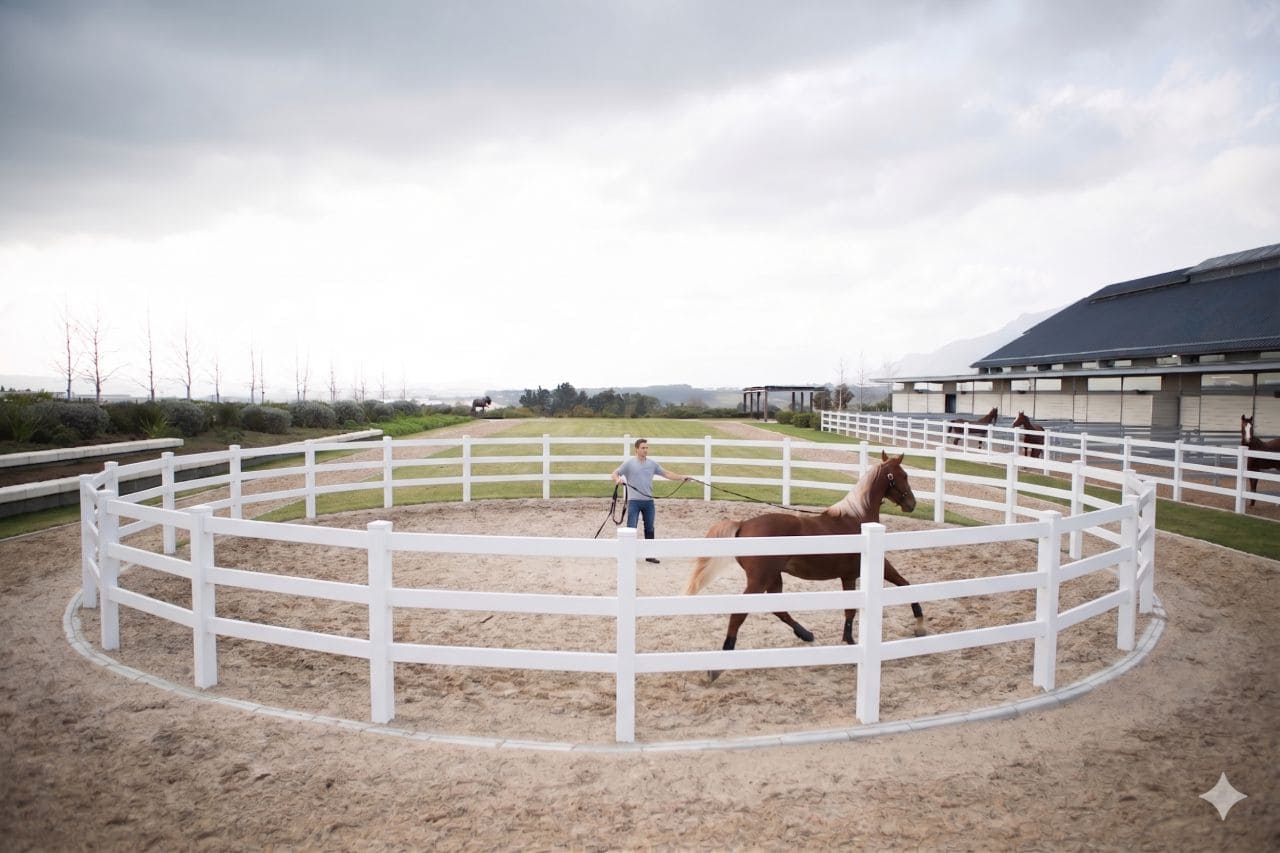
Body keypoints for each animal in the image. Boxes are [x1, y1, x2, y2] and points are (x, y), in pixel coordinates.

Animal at [683, 452, 926, 681]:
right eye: (904, 475)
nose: (912, 504)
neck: (857, 519)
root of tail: (744, 525)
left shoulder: (848, 576)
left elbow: (850, 611)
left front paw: (848, 641)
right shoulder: (877, 567)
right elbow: (906, 585)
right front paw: (920, 625)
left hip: (773, 578)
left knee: (778, 609)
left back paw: (806, 634)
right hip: (759, 580)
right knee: (739, 614)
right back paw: (717, 667)